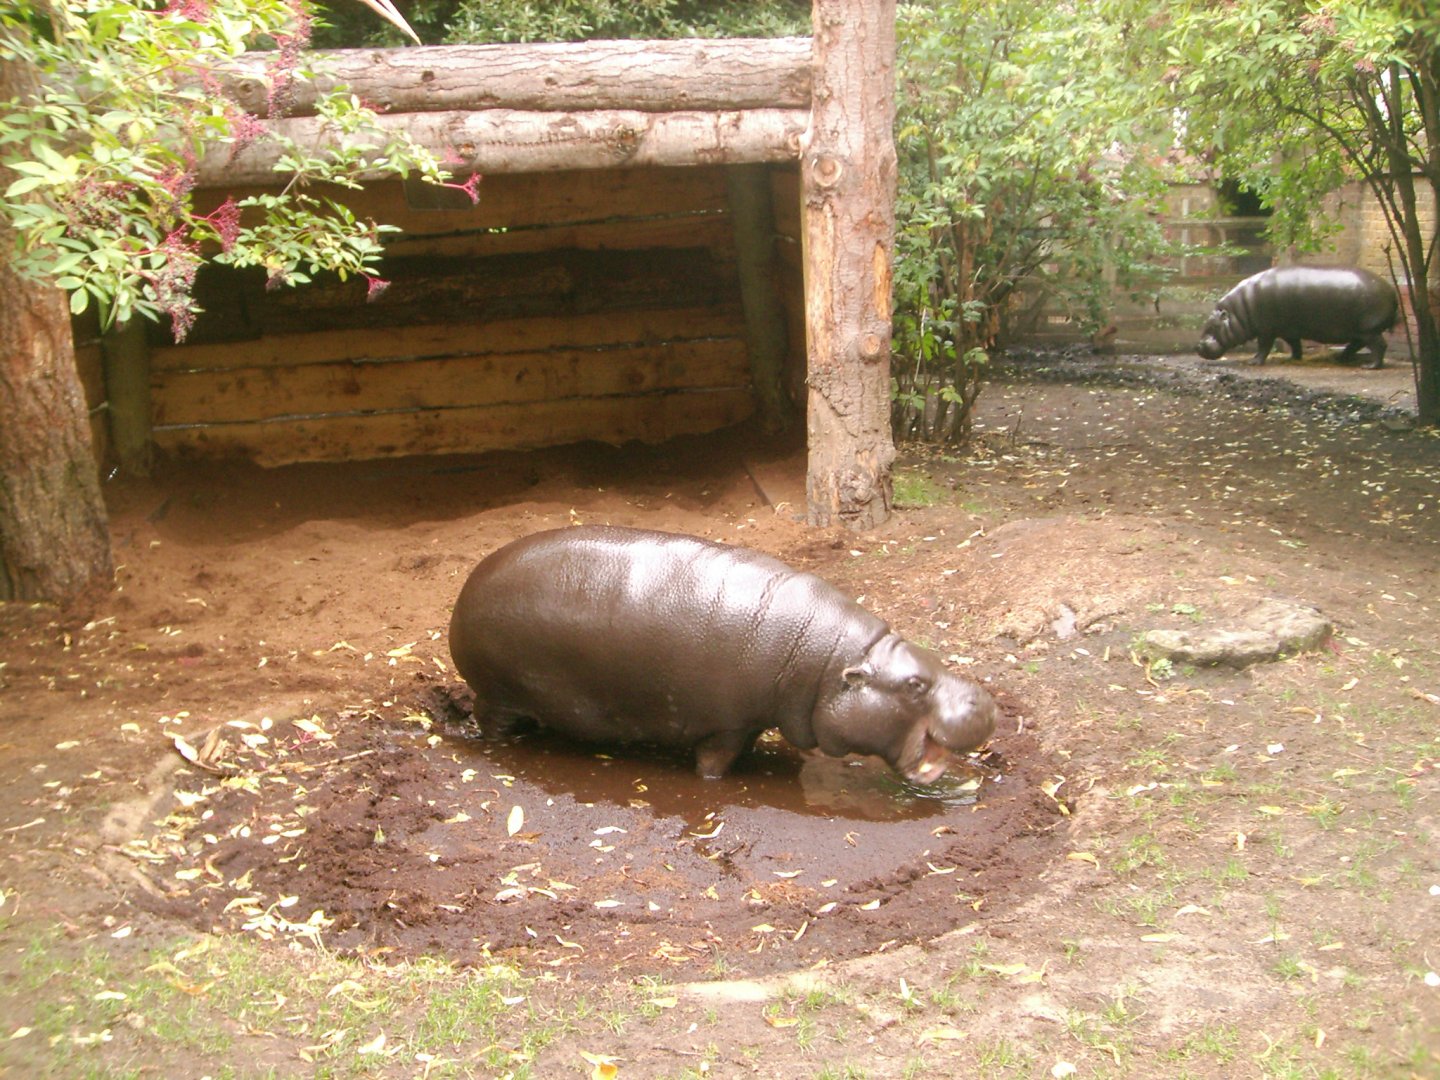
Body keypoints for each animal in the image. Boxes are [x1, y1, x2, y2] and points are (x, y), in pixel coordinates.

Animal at [448, 526, 997, 782]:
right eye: (915, 685)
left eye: (931, 656)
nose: (984, 702)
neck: (826, 663)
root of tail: (466, 587)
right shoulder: (724, 726)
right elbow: (716, 761)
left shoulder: (749, 720)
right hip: (498, 694)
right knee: (490, 722)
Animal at [1196, 265, 1399, 368]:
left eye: (1212, 327)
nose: (1198, 346)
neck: (1239, 311)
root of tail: (1391, 290)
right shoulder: (1288, 329)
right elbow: (1295, 344)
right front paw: (1293, 359)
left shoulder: (1266, 330)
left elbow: (1264, 347)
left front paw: (1253, 361)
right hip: (1360, 330)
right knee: (1356, 344)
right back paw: (1341, 358)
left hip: (1369, 329)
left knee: (1379, 346)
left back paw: (1370, 366)